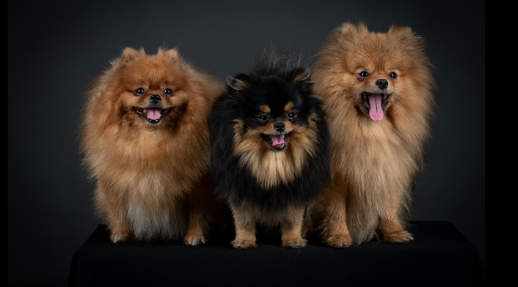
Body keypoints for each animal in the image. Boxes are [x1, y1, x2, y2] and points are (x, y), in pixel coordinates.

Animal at [82, 47, 224, 245]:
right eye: (139, 90)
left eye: (168, 90)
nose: (155, 96)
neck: (151, 141)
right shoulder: (114, 180)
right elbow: (117, 210)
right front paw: (120, 233)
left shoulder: (199, 185)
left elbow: (198, 213)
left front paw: (194, 236)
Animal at [211, 47, 334, 250]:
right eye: (263, 117)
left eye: (291, 114)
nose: (279, 125)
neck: (273, 161)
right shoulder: (241, 187)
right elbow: (244, 219)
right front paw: (244, 241)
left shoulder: (295, 189)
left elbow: (292, 219)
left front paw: (293, 240)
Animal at [310, 22, 436, 248]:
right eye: (363, 73)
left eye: (392, 74)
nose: (382, 82)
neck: (372, 132)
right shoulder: (335, 179)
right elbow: (335, 211)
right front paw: (338, 236)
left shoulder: (388, 169)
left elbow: (388, 206)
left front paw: (393, 232)